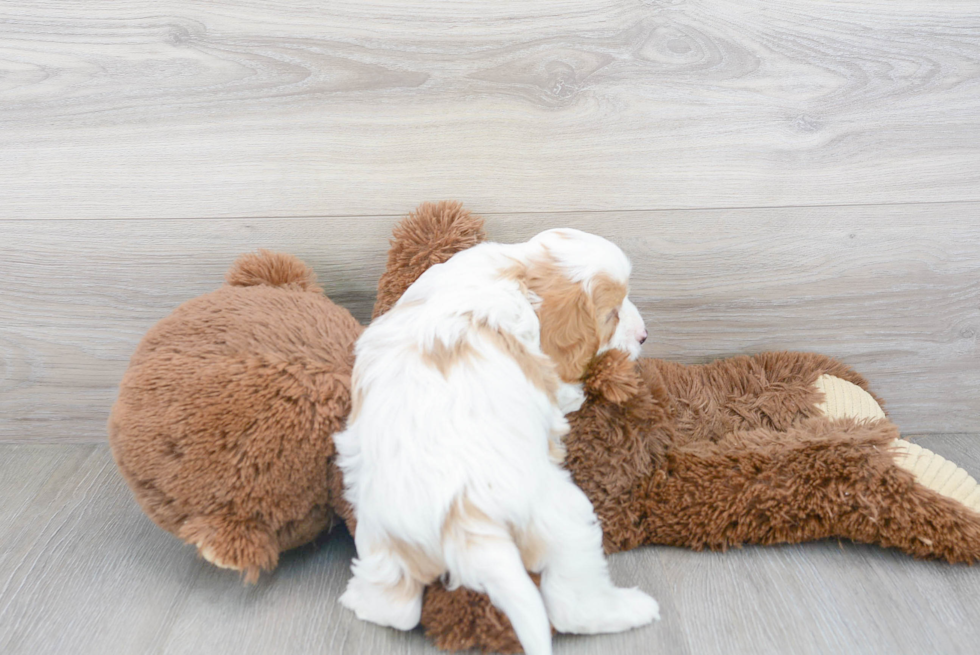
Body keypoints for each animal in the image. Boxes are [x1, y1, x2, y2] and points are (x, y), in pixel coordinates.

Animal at [334, 228, 660, 652]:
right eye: (611, 314)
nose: (644, 335)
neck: (514, 274)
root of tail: (465, 522)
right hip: (561, 516)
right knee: (571, 603)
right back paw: (632, 608)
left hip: (383, 536)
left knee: (394, 607)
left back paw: (363, 600)